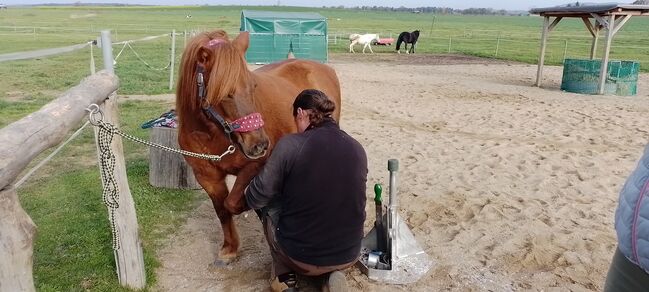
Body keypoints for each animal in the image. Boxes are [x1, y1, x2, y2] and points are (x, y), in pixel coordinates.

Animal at [175, 29, 342, 264]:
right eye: (225, 93)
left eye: (252, 85)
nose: (260, 144)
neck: (211, 134)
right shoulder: (207, 177)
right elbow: (222, 209)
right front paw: (229, 248)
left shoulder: (258, 164)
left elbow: (233, 202)